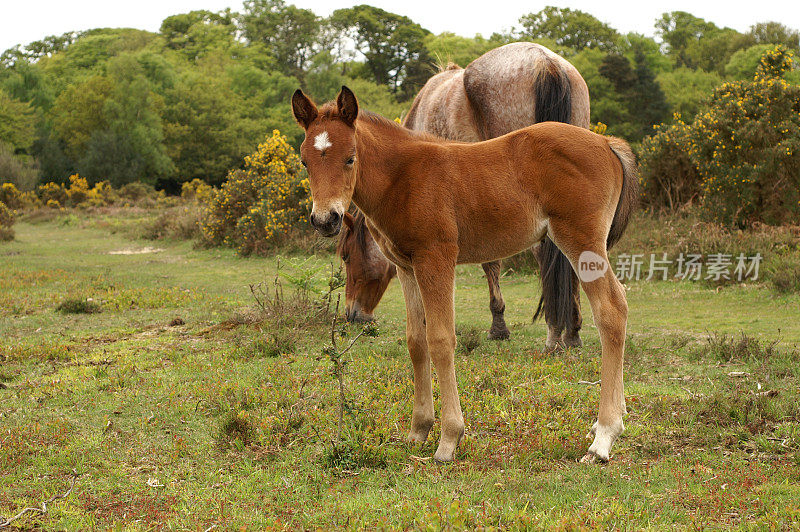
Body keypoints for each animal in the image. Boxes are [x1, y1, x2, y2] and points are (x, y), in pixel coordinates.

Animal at [292, 86, 636, 462]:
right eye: (305, 161)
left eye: (350, 158)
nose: (326, 219)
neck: (403, 177)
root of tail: (606, 142)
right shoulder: (407, 268)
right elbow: (416, 341)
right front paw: (418, 430)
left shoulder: (436, 258)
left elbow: (441, 340)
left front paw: (448, 439)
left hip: (581, 240)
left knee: (611, 310)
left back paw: (603, 439)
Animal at [334, 42, 592, 350]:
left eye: (347, 256)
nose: (352, 314)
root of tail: (546, 64)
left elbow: (488, 261)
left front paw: (497, 327)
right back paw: (572, 332)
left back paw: (554, 333)